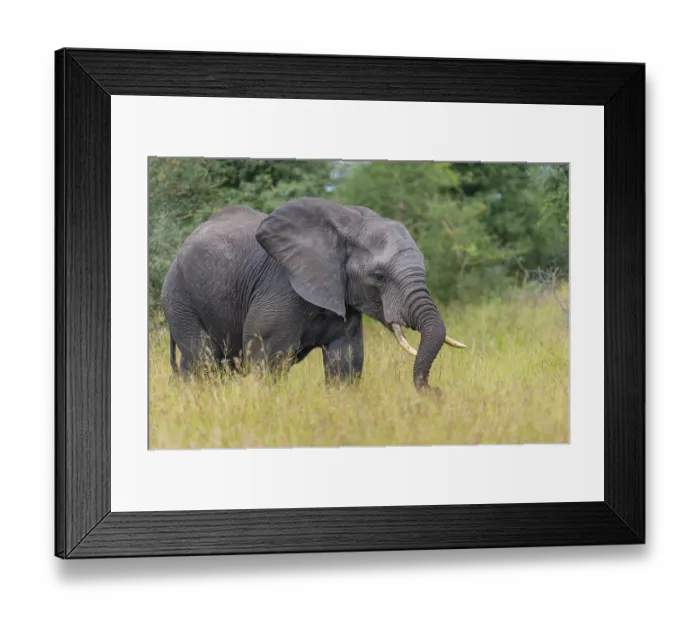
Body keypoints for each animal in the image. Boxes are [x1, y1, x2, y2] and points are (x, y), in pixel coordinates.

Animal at [160, 196, 466, 393]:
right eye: (379, 277)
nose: (437, 391)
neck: (347, 225)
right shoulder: (281, 286)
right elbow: (270, 359)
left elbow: (346, 361)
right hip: (179, 296)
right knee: (203, 360)